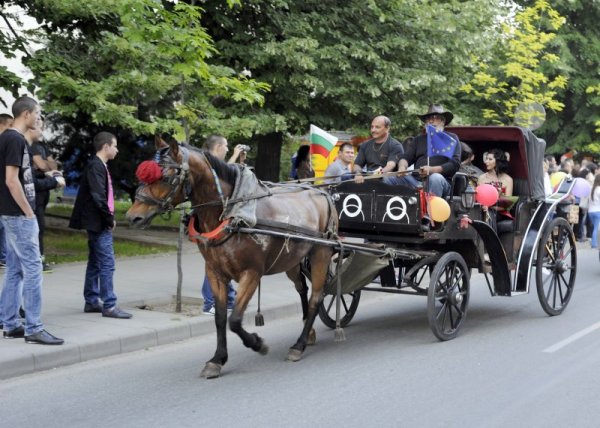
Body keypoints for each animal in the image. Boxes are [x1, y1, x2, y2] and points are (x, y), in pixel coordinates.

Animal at [125, 140, 338, 378]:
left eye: (166, 177)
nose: (133, 217)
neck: (233, 213)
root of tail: (321, 192)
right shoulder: (215, 272)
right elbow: (220, 318)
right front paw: (217, 359)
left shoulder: (251, 273)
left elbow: (234, 320)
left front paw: (257, 343)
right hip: (291, 260)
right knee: (302, 290)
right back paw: (308, 334)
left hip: (321, 254)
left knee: (316, 298)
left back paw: (298, 345)